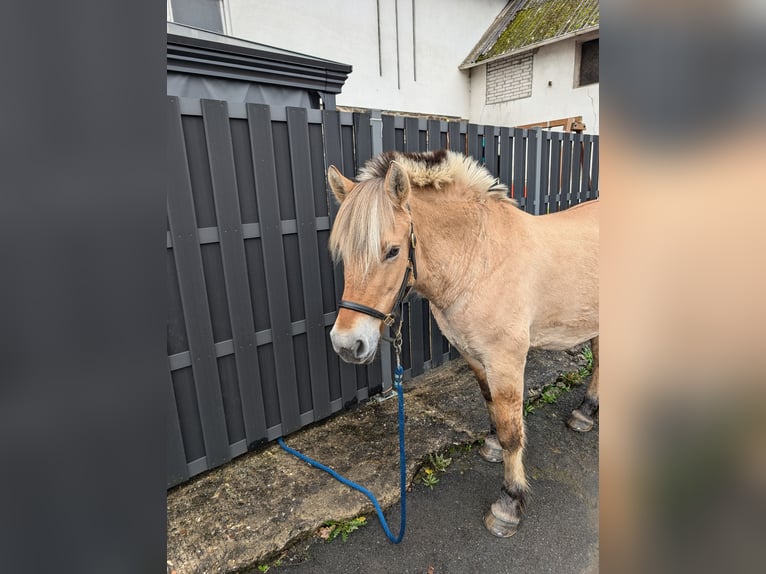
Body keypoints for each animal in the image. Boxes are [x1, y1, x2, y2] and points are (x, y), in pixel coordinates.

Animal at [328, 150, 596, 540]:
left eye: (393, 251)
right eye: (343, 252)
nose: (347, 344)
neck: (479, 261)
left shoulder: (506, 361)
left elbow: (513, 431)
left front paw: (509, 504)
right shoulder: (474, 356)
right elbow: (492, 410)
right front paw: (493, 446)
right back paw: (585, 413)